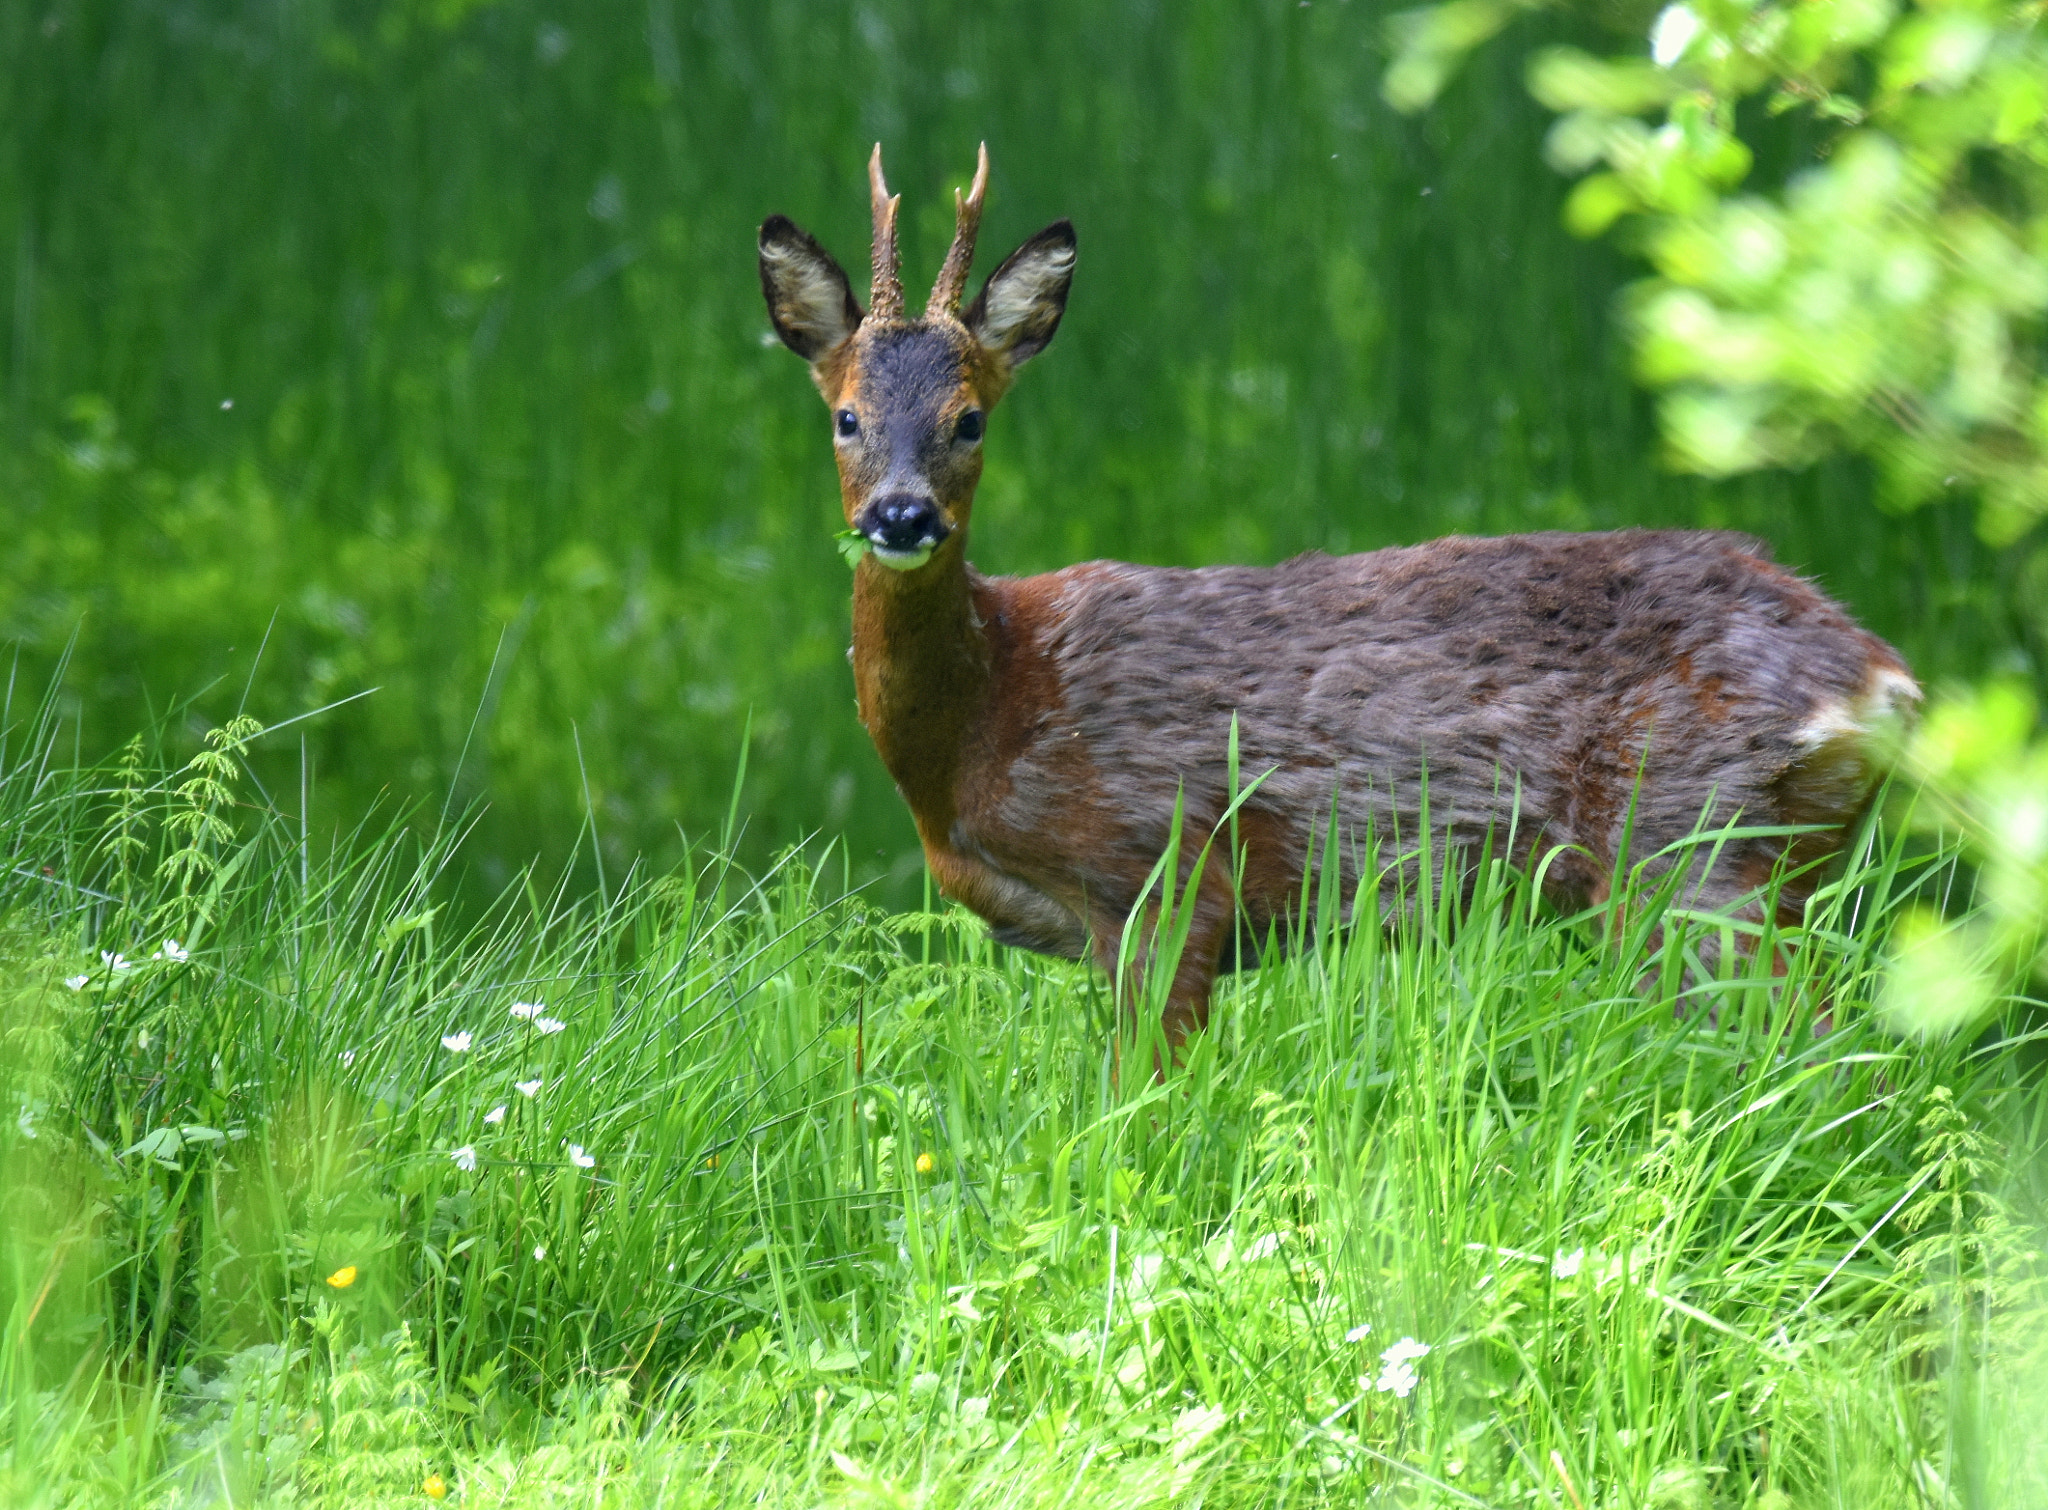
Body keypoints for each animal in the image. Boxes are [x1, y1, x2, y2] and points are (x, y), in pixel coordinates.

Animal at [758, 144, 1920, 1048]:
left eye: (969, 419)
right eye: (846, 416)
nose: (901, 516)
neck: (994, 708)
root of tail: (1880, 679)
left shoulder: (1165, 870)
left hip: (1691, 839)